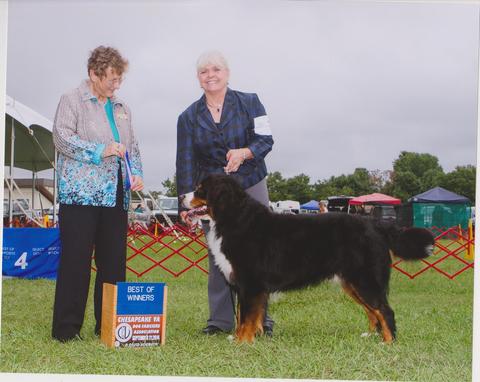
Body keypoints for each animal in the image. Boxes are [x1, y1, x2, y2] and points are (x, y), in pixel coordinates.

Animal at [181, 175, 436, 344]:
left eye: (201, 189)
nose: (181, 195)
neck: (233, 217)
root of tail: (376, 224)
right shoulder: (252, 287)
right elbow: (250, 317)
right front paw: (251, 338)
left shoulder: (250, 284)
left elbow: (246, 318)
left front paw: (242, 341)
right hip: (353, 283)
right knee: (373, 311)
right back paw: (370, 336)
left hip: (365, 279)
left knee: (385, 310)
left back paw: (388, 342)